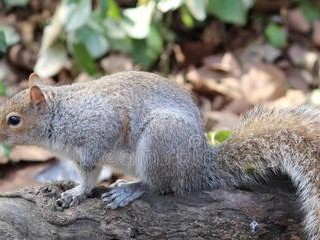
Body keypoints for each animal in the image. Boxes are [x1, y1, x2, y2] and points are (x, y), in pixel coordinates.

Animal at [0, 71, 320, 238]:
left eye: (14, 120)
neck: (61, 115)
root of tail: (199, 167)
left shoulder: (97, 133)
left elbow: (91, 173)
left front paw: (77, 193)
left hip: (160, 142)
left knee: (158, 185)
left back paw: (129, 189)